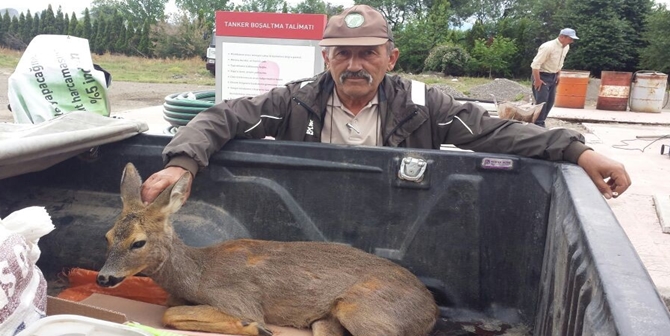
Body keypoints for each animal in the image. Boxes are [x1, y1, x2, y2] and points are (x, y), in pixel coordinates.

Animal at [96, 161, 440, 334]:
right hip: (327, 322)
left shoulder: (238, 299)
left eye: (138, 242)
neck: (197, 275)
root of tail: (432, 309)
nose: (103, 278)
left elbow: (171, 314)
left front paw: (254, 328)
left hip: (363, 310)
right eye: (108, 236)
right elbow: (170, 309)